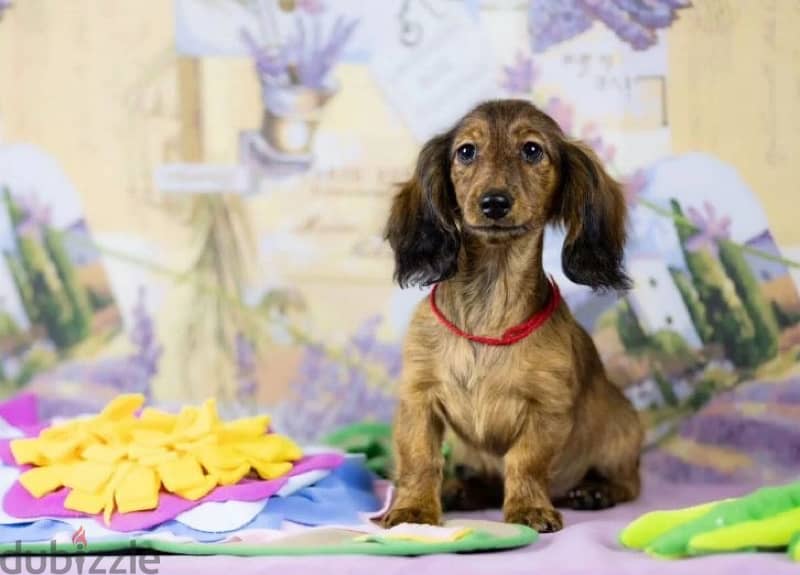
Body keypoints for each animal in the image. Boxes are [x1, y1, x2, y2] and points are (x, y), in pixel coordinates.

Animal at [382, 100, 644, 536]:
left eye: (532, 150)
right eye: (466, 151)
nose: (494, 202)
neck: (489, 305)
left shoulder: (546, 407)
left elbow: (525, 461)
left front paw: (528, 508)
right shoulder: (418, 398)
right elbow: (420, 458)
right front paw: (413, 510)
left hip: (621, 432)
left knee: (630, 482)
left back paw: (596, 490)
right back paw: (461, 489)